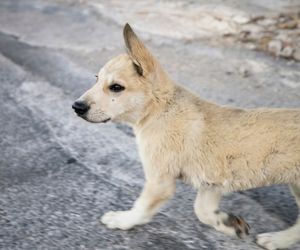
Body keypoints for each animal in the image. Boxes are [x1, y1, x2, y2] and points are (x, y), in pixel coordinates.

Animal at [72, 23, 300, 250]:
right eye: (96, 79)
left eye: (116, 87)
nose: (76, 107)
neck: (161, 108)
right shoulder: (212, 181)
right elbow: (203, 210)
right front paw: (228, 223)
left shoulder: (160, 181)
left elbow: (142, 208)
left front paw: (122, 220)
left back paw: (277, 240)